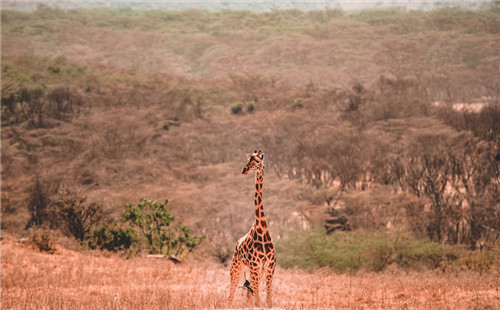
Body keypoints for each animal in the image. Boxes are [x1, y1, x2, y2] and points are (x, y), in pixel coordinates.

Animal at [228, 150, 276, 308]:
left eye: (257, 161)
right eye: (249, 160)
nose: (244, 169)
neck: (262, 229)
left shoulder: (269, 267)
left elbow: (268, 301)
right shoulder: (255, 266)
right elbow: (258, 301)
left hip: (254, 272)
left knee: (249, 296)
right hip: (236, 269)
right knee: (230, 296)